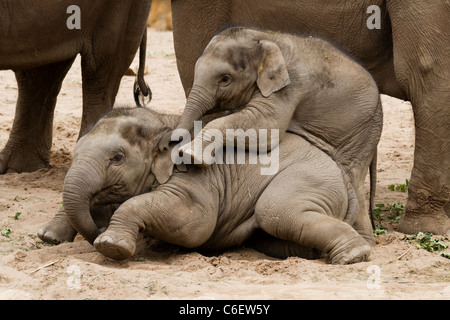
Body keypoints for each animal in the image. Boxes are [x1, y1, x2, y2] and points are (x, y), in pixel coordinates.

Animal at [40, 106, 372, 264]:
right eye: (74, 153)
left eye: (117, 158)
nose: (96, 230)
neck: (163, 119)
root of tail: (343, 174)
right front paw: (48, 237)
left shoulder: (194, 177)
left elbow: (194, 224)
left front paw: (110, 245)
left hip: (309, 176)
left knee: (275, 209)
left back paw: (353, 256)